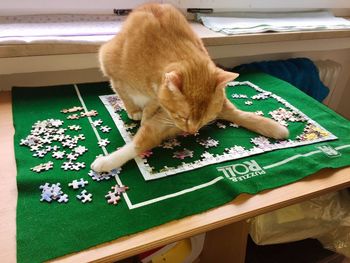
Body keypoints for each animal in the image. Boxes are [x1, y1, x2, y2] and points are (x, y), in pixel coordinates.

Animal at [91, 4, 290, 173]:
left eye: (204, 119)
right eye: (183, 117)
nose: (192, 132)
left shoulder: (163, 118)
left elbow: (144, 129)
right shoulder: (110, 64)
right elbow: (124, 94)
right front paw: (135, 111)